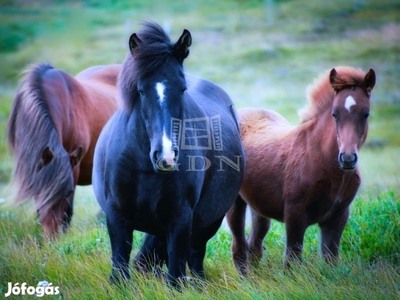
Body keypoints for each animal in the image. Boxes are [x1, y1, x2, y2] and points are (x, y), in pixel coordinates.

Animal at [93, 22, 244, 288]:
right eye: (140, 90)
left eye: (182, 89)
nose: (166, 156)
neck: (143, 166)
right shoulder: (116, 215)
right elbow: (120, 267)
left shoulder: (180, 218)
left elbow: (175, 273)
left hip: (209, 221)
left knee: (195, 257)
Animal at [227, 66, 376, 274]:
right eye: (334, 114)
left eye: (366, 113)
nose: (347, 158)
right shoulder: (295, 214)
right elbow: (292, 260)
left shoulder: (338, 217)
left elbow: (331, 259)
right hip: (234, 202)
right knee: (239, 247)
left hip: (259, 206)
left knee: (254, 245)